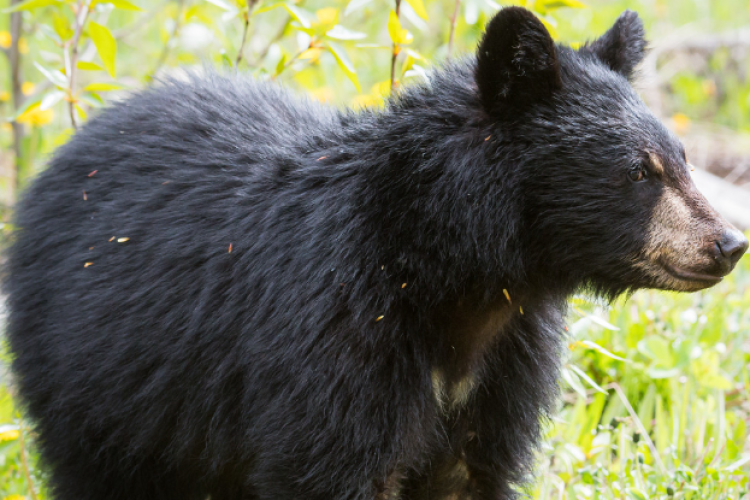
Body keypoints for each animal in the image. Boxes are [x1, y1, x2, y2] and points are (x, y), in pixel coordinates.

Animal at [4, 4, 748, 500]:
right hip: (94, 377)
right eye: (640, 171)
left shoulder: (506, 368)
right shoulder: (336, 334)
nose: (728, 243)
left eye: (682, 158)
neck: (460, 282)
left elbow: (470, 471)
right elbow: (330, 461)